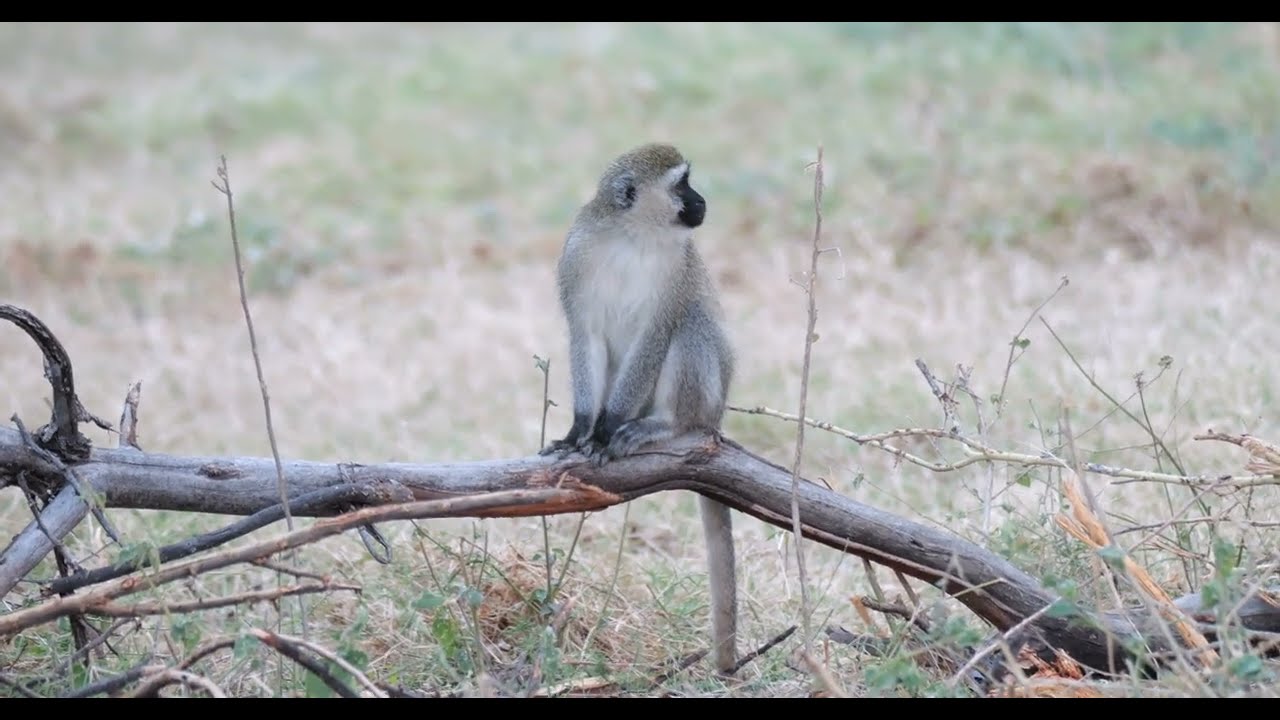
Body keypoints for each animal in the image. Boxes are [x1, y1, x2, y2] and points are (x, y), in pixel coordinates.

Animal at [540, 143, 739, 675]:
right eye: (681, 184)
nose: (702, 201)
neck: (635, 237)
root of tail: (716, 419)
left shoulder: (677, 271)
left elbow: (657, 333)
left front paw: (605, 431)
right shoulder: (578, 254)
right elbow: (584, 333)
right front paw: (580, 430)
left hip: (707, 398)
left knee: (690, 322)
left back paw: (666, 427)